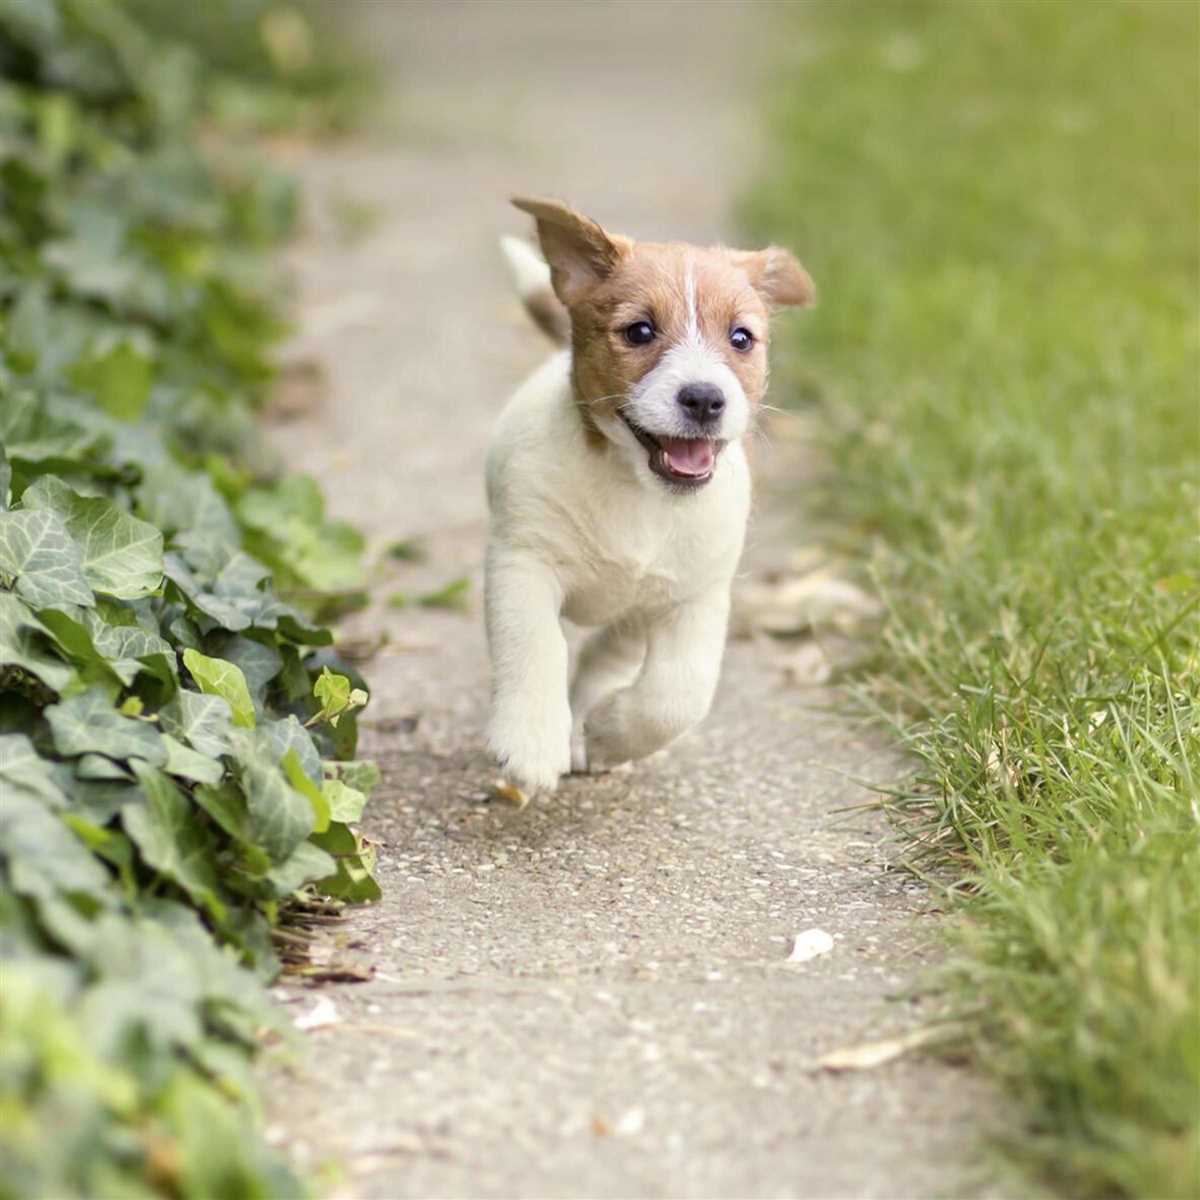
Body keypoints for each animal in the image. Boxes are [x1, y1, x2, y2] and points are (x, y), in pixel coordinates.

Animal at [482, 196, 811, 796]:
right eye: (638, 331)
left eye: (741, 338)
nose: (704, 399)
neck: (637, 488)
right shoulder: (523, 565)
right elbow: (535, 646)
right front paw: (532, 743)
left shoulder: (696, 599)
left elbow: (677, 697)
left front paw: (609, 734)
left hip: (638, 612)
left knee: (605, 655)